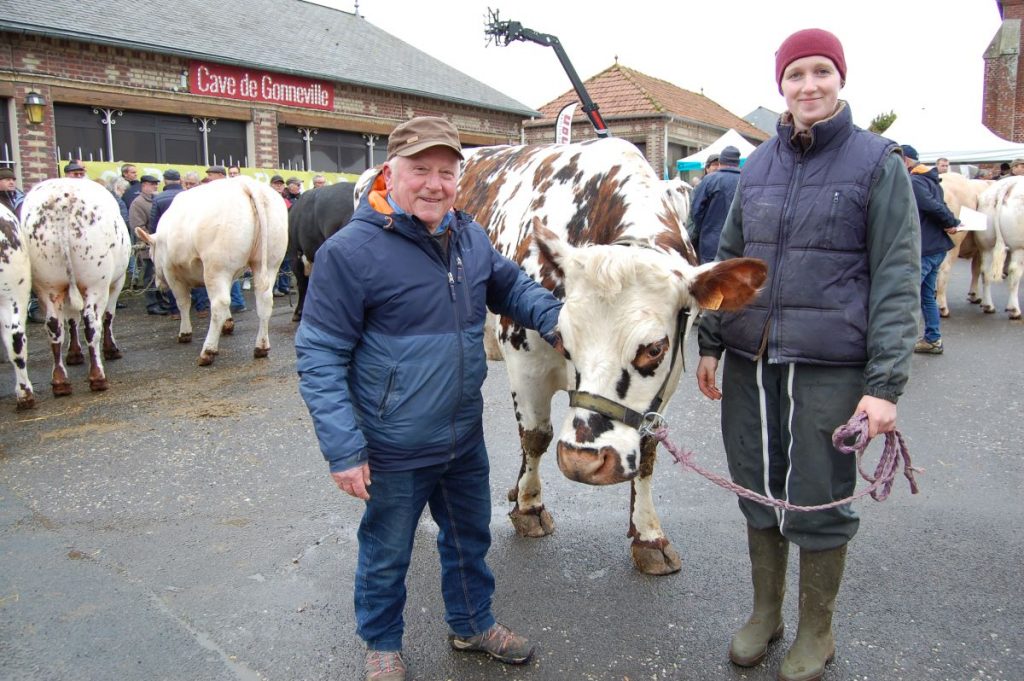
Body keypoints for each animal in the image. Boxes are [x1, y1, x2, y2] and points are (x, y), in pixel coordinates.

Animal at [21, 178, 131, 395]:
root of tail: (62, 202)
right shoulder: (116, 282)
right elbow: (109, 315)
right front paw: (110, 349)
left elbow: (71, 320)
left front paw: (74, 353)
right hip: (96, 283)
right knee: (91, 323)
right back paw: (97, 376)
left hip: (48, 285)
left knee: (54, 325)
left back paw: (60, 381)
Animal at [134, 175, 288, 366]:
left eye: (150, 253)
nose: (158, 285)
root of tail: (247, 184)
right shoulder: (233, 273)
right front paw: (228, 323)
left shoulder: (172, 273)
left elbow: (183, 302)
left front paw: (185, 333)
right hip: (268, 263)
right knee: (264, 300)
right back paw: (261, 347)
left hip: (217, 267)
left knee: (219, 303)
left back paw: (208, 351)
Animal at [456, 139, 770, 573]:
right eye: (563, 339)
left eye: (654, 348)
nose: (582, 461)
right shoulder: (525, 358)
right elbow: (536, 436)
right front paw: (530, 507)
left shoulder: (669, 378)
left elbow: (648, 450)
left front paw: (649, 535)